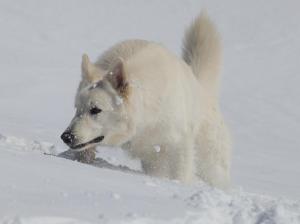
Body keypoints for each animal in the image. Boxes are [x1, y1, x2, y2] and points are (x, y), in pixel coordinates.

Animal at [61, 11, 232, 188]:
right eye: (77, 108)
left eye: (95, 109)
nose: (66, 137)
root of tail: (202, 86)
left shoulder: (179, 144)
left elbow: (181, 173)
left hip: (211, 165)